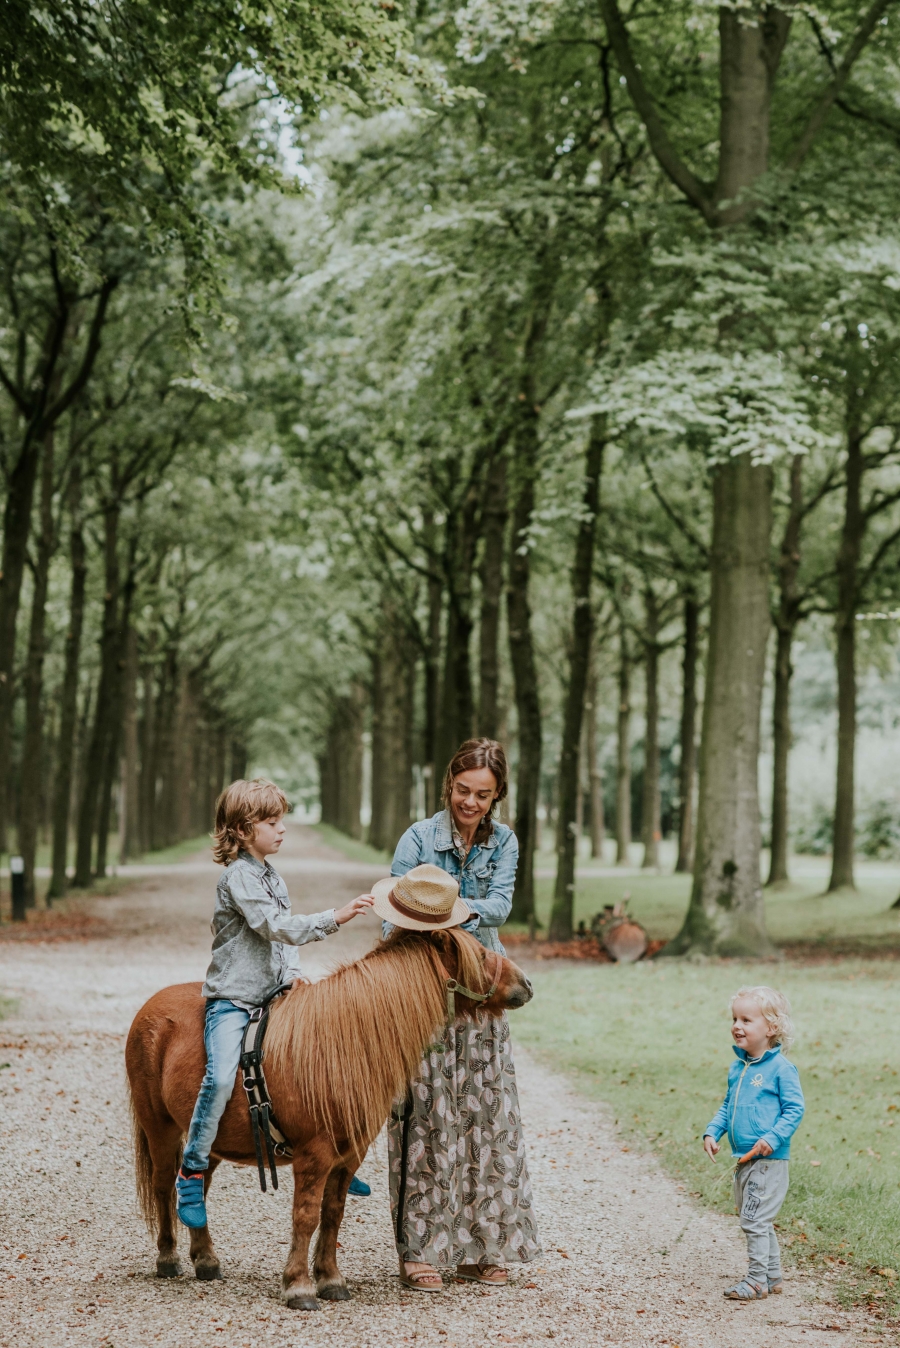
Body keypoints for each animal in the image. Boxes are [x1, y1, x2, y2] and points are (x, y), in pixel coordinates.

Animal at [126, 927, 533, 1304]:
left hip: (208, 1140)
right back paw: (168, 1257)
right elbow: (305, 1216)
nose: (526, 983)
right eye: (481, 955)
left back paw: (205, 1258)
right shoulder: (314, 1155)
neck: (345, 1041)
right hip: (160, 1130)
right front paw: (298, 1285)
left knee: (197, 1185)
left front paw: (330, 1279)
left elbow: (332, 1214)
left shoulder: (349, 1155)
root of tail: (149, 1010)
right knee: (164, 1185)